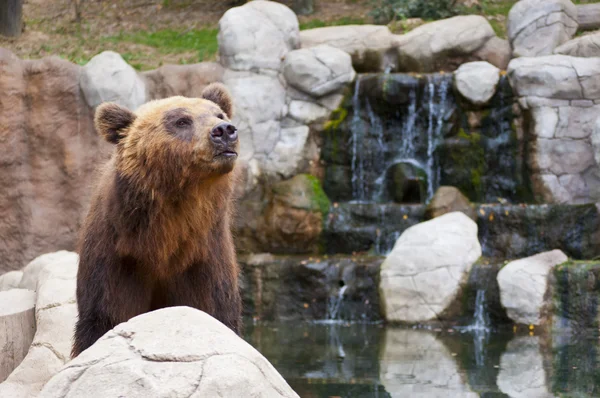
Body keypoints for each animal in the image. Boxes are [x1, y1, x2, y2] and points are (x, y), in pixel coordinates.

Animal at [70, 83, 239, 358]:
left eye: (219, 114)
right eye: (181, 120)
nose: (224, 130)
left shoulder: (205, 257)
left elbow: (214, 309)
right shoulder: (118, 260)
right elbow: (105, 317)